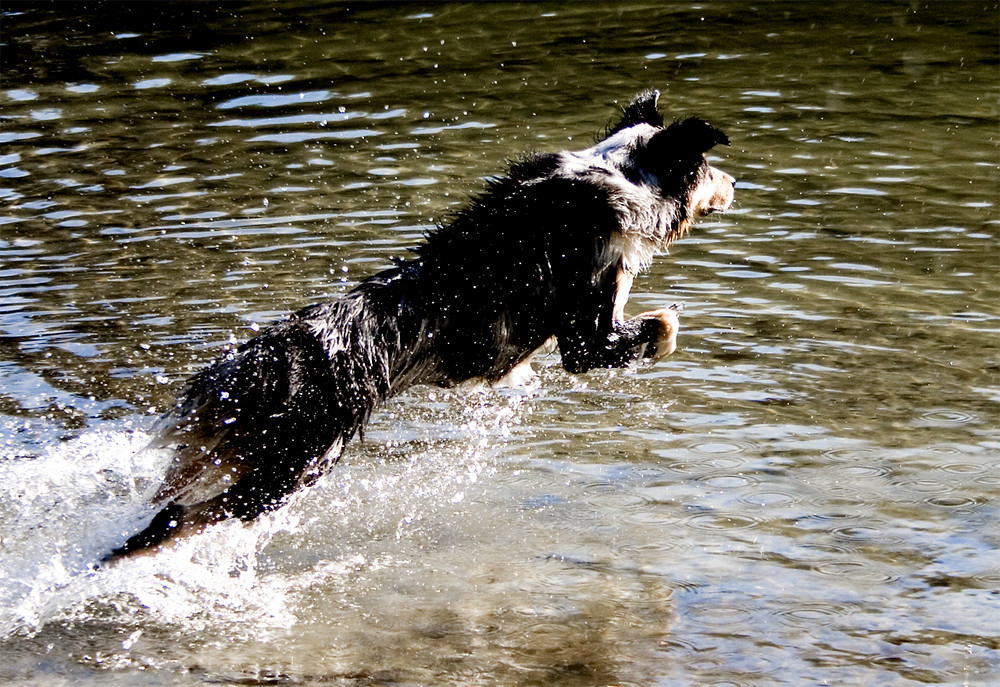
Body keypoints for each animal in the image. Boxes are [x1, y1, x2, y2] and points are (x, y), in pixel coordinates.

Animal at [105, 88, 736, 560]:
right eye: (709, 168)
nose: (736, 185)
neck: (620, 176)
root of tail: (258, 364)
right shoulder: (589, 332)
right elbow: (657, 327)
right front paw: (667, 324)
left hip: (231, 457)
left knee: (168, 510)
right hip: (294, 466)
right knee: (178, 523)